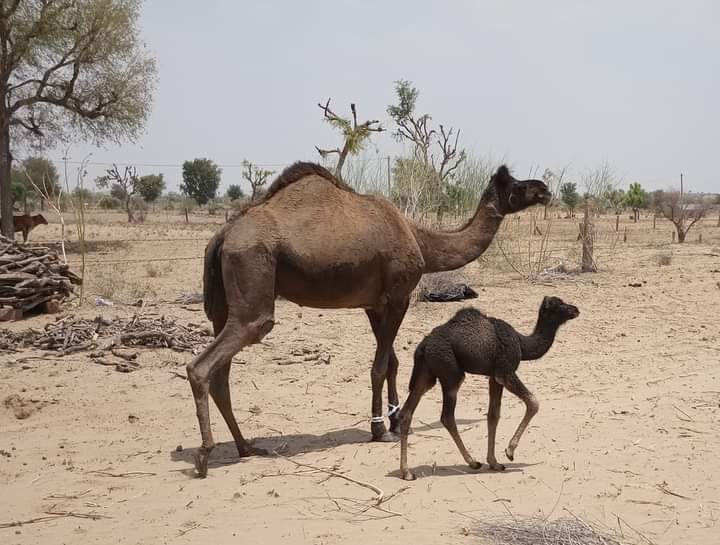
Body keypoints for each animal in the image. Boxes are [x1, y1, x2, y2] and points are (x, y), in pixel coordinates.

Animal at [187, 161, 551, 477]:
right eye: (518, 185)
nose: (545, 190)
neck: (419, 239)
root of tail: (222, 236)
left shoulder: (374, 305)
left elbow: (392, 362)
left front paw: (394, 419)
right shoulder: (399, 295)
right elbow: (380, 365)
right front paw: (380, 429)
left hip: (221, 307)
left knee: (221, 375)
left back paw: (246, 447)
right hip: (252, 284)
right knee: (205, 364)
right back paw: (205, 453)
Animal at [398, 296, 579, 480]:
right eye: (560, 304)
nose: (576, 309)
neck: (522, 344)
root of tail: (424, 344)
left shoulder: (494, 377)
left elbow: (493, 416)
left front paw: (494, 462)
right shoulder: (504, 372)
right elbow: (533, 403)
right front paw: (509, 451)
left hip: (426, 374)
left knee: (407, 412)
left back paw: (407, 472)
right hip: (451, 373)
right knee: (447, 417)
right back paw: (472, 462)